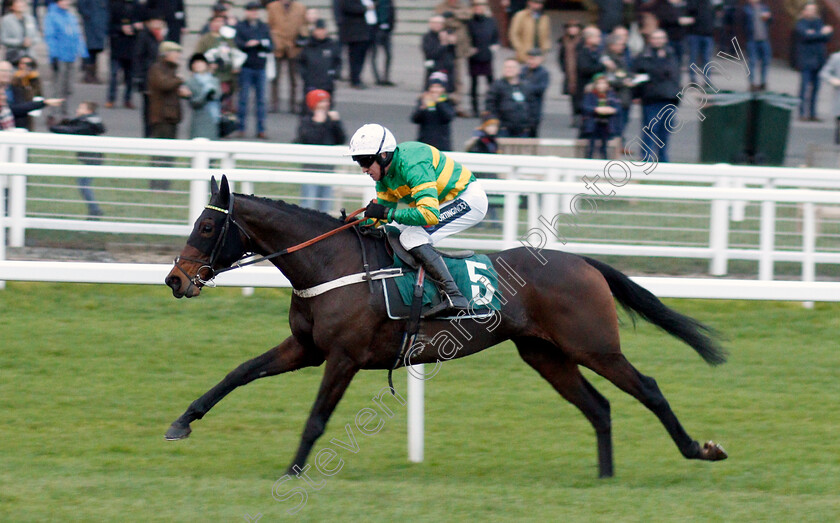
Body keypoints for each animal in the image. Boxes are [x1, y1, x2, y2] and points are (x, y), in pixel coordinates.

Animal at [164, 176, 728, 478]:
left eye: (208, 226)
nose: (175, 279)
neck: (329, 264)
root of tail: (583, 262)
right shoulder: (305, 347)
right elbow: (238, 373)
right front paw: (182, 422)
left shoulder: (343, 357)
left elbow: (316, 419)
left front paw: (293, 471)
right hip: (544, 354)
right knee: (599, 407)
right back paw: (605, 476)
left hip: (595, 347)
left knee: (648, 389)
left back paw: (699, 448)